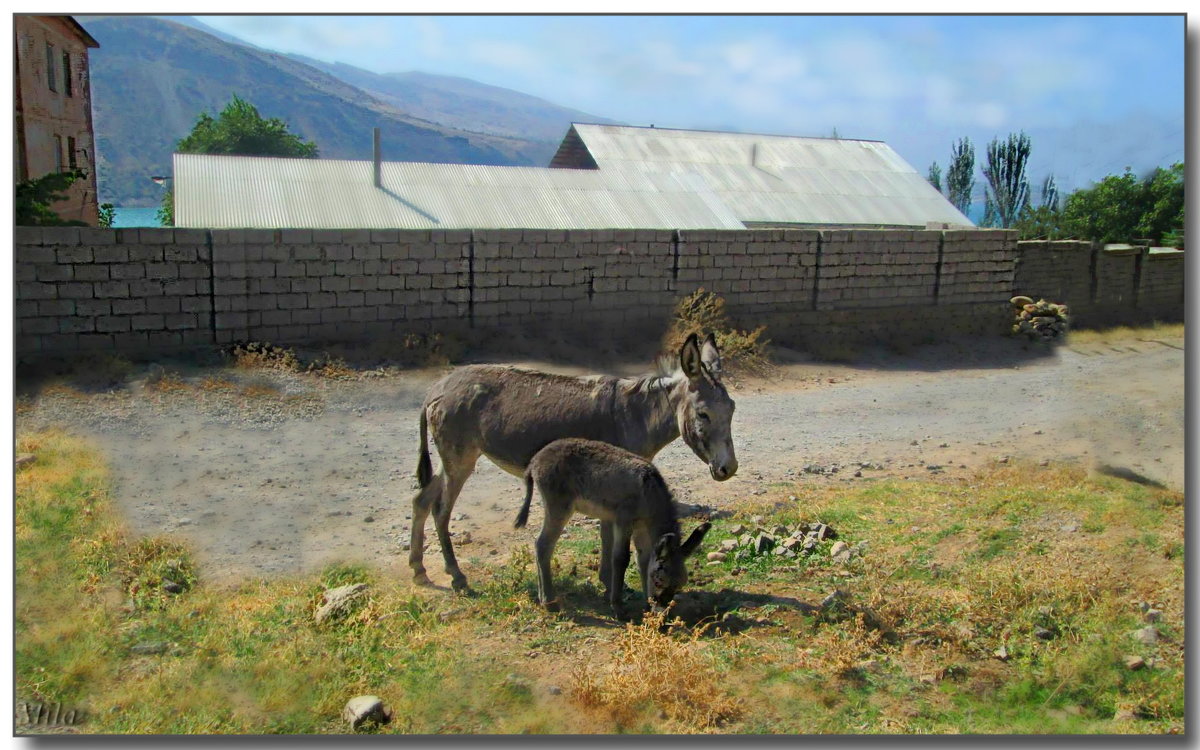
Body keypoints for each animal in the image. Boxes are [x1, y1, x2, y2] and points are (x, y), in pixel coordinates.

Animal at [511, 436, 705, 619]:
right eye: (659, 582)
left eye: (679, 585)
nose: (661, 610)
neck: (650, 493)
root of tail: (535, 460)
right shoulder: (623, 519)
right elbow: (620, 558)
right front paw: (618, 608)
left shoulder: (642, 527)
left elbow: (643, 560)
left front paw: (646, 607)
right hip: (558, 506)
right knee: (543, 545)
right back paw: (550, 603)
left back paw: (544, 600)